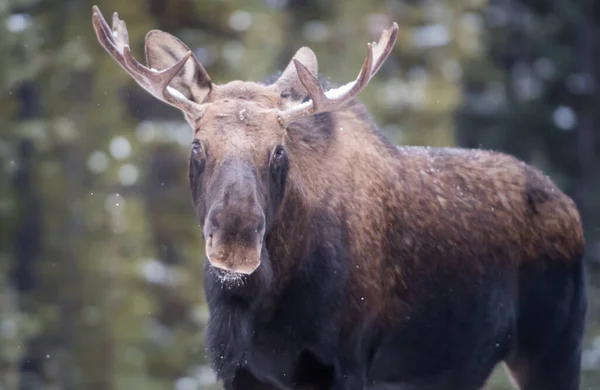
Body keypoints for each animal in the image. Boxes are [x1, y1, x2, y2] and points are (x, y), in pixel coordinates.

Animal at [94, 6, 584, 390]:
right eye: (197, 144)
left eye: (279, 150)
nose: (235, 240)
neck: (259, 304)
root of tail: (571, 209)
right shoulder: (244, 371)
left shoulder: (346, 363)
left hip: (553, 349)